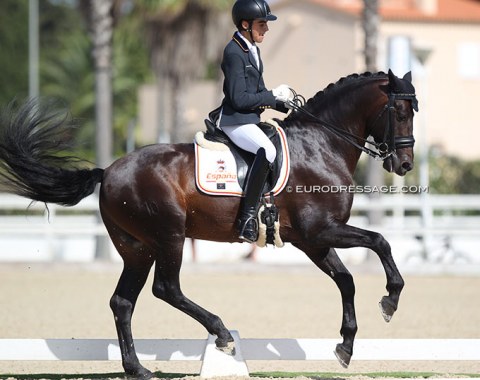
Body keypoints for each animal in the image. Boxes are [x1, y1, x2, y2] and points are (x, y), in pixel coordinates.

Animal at [0, 69, 416, 378]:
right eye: (400, 110)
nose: (405, 165)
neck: (321, 144)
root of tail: (110, 171)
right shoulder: (319, 230)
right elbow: (380, 241)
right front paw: (391, 299)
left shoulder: (312, 240)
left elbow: (346, 279)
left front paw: (346, 345)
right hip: (169, 236)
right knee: (166, 289)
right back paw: (221, 333)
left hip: (137, 248)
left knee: (123, 301)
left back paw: (138, 369)